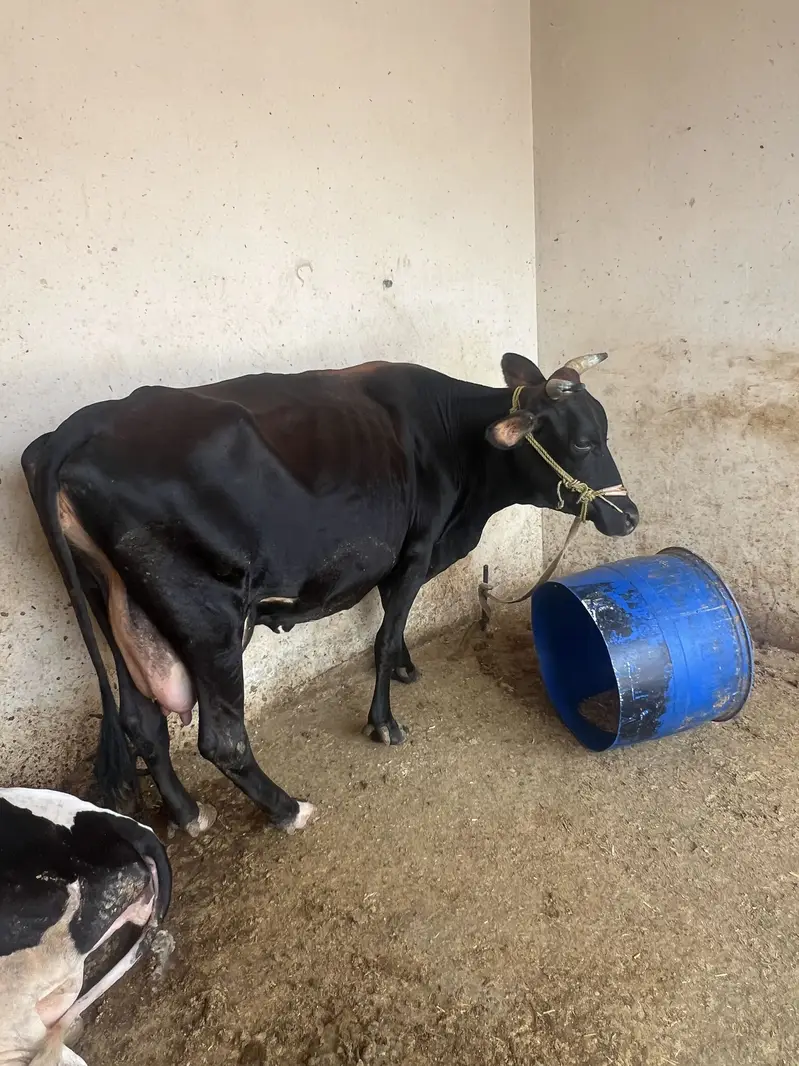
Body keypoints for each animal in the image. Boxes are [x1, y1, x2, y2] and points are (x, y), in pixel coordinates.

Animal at [21, 352, 638, 837]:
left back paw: (189, 814)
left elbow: (392, 620)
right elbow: (385, 635)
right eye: (584, 441)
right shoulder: (415, 550)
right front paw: (384, 722)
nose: (629, 516)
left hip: (117, 605)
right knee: (223, 739)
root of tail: (77, 427)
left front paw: (407, 668)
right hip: (205, 615)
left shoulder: (403, 559)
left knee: (143, 722)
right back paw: (287, 808)